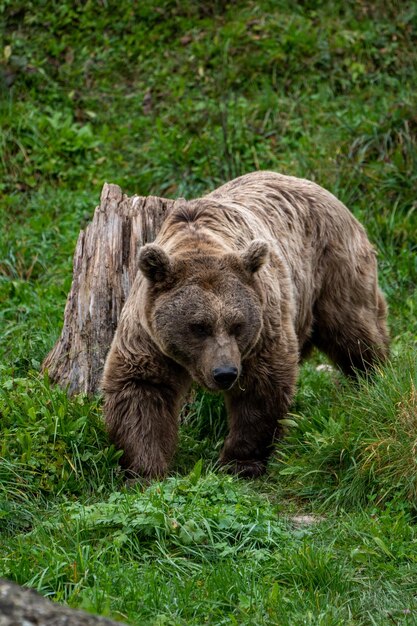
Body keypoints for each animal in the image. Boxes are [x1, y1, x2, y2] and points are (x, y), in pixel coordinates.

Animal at [100, 171, 386, 478]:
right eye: (198, 326)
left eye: (237, 324)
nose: (224, 373)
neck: (197, 240)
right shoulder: (147, 334)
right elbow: (141, 389)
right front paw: (144, 469)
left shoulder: (263, 322)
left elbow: (262, 386)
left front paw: (240, 461)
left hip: (331, 270)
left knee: (354, 331)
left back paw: (373, 379)